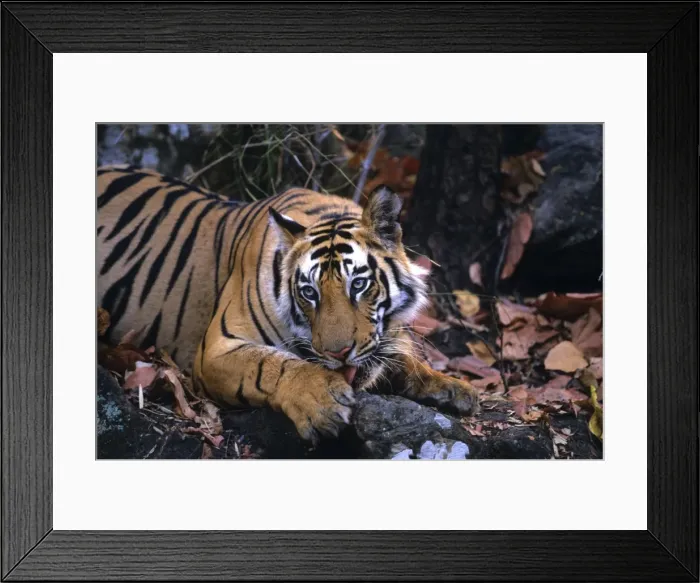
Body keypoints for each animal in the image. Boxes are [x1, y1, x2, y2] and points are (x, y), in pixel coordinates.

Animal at [97, 165, 479, 443]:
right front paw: (322, 401)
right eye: (309, 293)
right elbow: (269, 364)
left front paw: (454, 389)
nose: (339, 353)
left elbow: (404, 360)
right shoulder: (216, 347)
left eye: (358, 284)